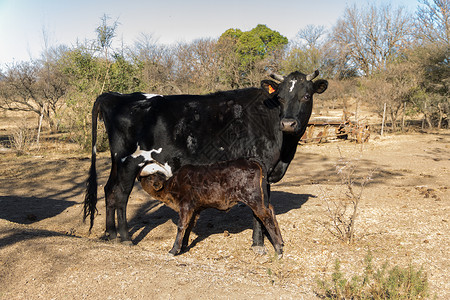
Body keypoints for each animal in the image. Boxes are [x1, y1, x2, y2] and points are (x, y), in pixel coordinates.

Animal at [139, 158, 284, 254]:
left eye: (150, 178)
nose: (139, 177)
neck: (172, 185)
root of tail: (252, 161)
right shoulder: (195, 209)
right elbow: (189, 226)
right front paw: (184, 245)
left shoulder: (185, 206)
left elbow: (182, 226)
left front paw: (174, 250)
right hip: (261, 199)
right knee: (271, 210)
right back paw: (281, 242)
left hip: (253, 198)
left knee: (266, 216)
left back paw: (278, 249)